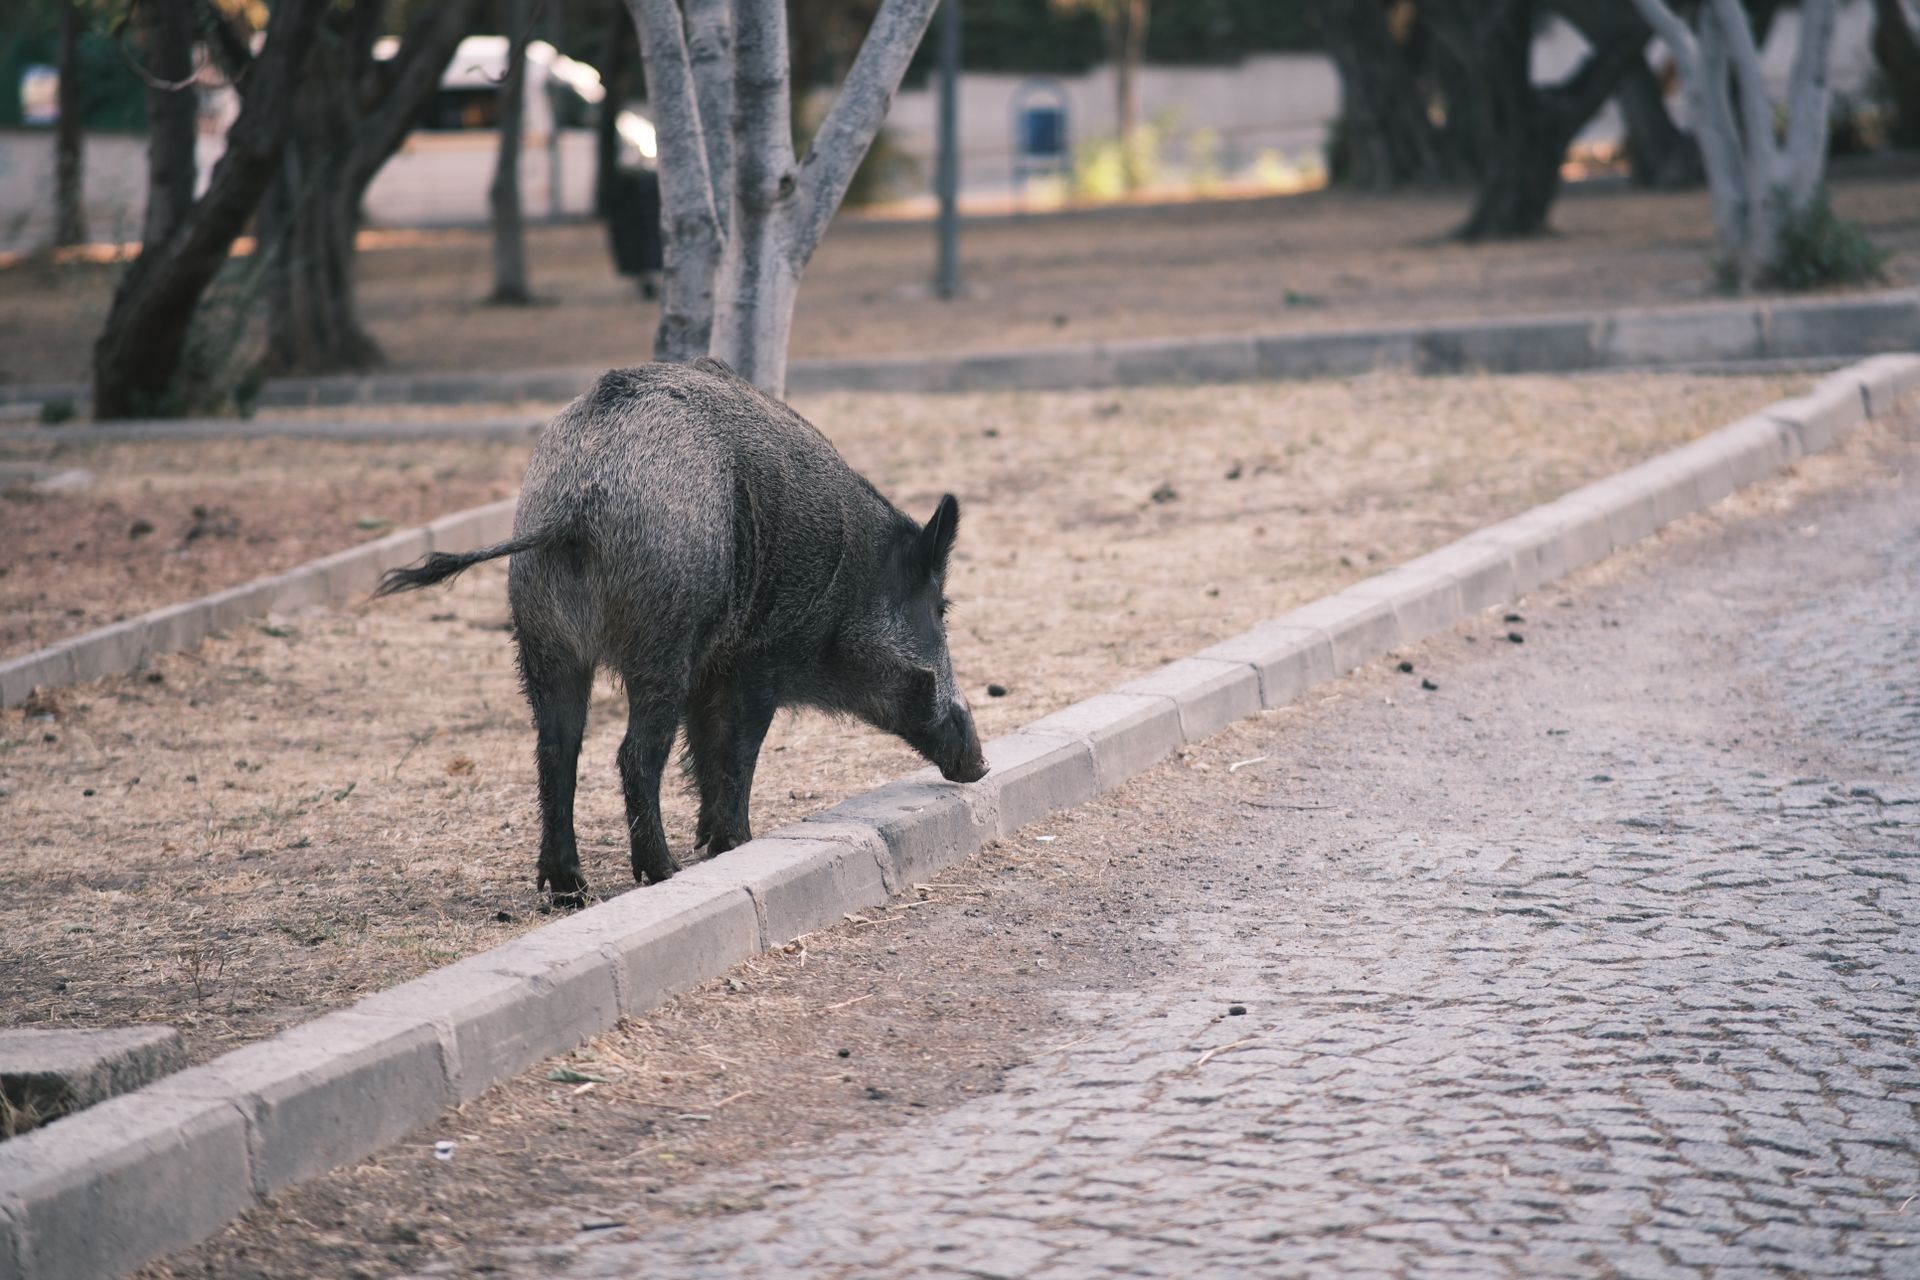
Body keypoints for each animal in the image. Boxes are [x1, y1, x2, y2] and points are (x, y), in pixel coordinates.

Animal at [376, 358, 987, 902]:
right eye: (942, 608)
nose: (979, 766)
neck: (850, 576)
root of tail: (576, 502)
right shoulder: (759, 655)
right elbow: (736, 749)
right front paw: (736, 844)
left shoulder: (711, 664)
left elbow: (705, 747)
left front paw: (715, 845)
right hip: (660, 640)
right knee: (633, 753)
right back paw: (661, 870)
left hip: (541, 637)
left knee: (556, 748)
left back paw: (570, 889)